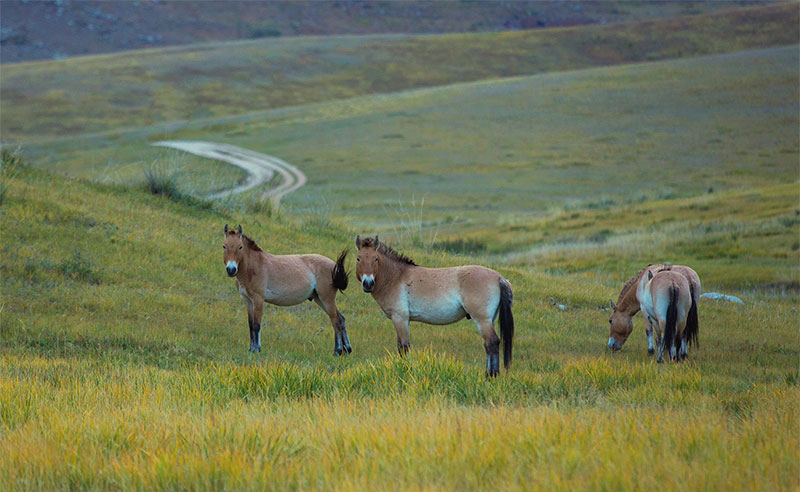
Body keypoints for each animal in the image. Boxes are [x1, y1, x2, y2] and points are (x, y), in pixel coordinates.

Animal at [222, 224, 351, 355]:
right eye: (224, 246)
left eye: (240, 247)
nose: (231, 270)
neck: (254, 266)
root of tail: (334, 266)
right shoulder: (247, 299)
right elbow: (250, 324)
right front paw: (251, 349)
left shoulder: (258, 299)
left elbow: (257, 325)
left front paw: (256, 349)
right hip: (319, 299)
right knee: (341, 319)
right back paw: (347, 349)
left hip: (327, 299)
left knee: (335, 321)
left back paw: (337, 351)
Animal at [354, 235, 514, 377]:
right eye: (358, 258)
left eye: (375, 258)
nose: (368, 284)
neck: (396, 277)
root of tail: (499, 278)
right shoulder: (402, 320)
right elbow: (401, 347)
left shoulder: (400, 318)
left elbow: (404, 347)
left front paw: (406, 370)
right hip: (490, 319)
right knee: (488, 345)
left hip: (482, 320)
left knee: (491, 343)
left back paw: (491, 376)